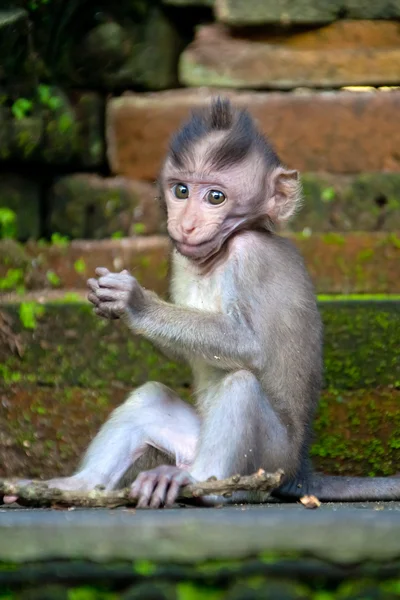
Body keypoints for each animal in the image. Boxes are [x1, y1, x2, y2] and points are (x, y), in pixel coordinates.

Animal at [6, 97, 400, 506]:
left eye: (216, 197)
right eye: (181, 190)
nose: (187, 224)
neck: (219, 254)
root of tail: (300, 475)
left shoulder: (252, 256)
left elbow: (249, 346)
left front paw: (136, 304)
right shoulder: (180, 258)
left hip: (268, 461)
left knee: (241, 386)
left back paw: (196, 483)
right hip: (191, 441)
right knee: (151, 398)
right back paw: (78, 485)